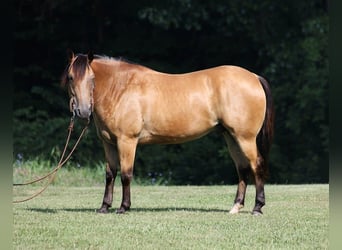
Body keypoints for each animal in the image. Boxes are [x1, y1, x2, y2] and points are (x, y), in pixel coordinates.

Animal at [61, 51, 274, 215]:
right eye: (71, 77)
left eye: (92, 79)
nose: (83, 111)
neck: (121, 88)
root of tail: (254, 77)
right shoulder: (109, 143)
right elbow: (110, 174)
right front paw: (104, 207)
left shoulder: (127, 141)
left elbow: (126, 174)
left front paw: (123, 207)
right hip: (231, 138)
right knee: (242, 169)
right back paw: (236, 207)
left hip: (245, 138)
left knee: (256, 166)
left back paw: (257, 207)